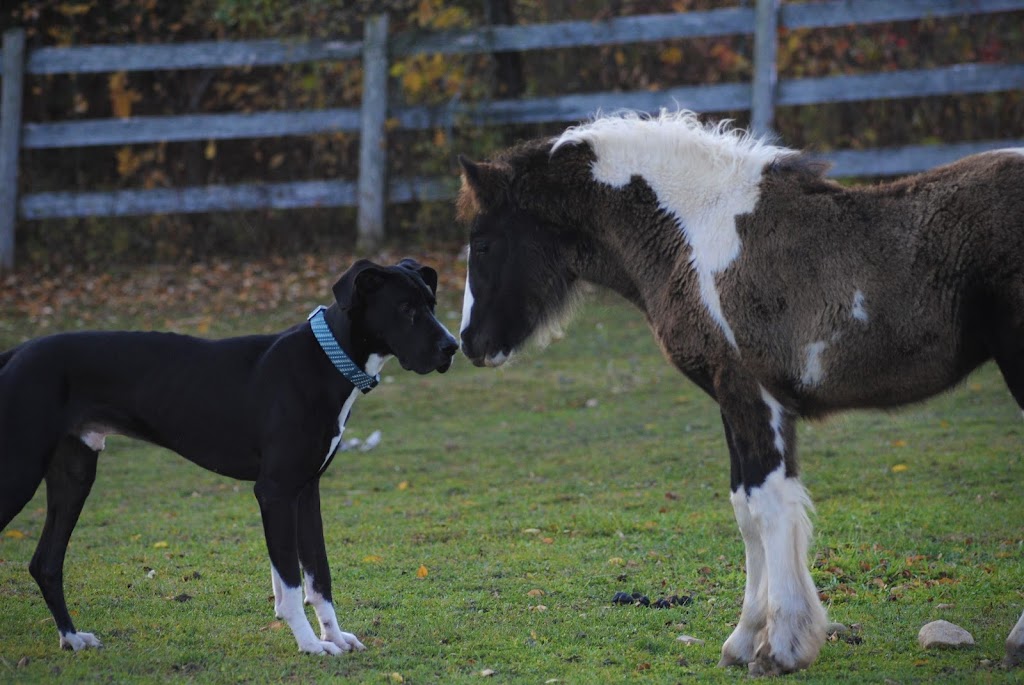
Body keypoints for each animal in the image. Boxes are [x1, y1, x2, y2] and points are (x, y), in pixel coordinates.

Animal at [0, 255, 456, 651]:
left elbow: (317, 576)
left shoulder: (306, 491)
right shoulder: (274, 492)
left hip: (74, 473)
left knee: (45, 562)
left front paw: (334, 636)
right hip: (18, 471)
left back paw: (71, 637)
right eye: (406, 309)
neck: (329, 359)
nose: (452, 347)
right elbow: (292, 584)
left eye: (431, 304)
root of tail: (17, 353)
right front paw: (310, 645)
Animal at [456, 111, 1024, 671]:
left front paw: (782, 646)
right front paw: (747, 640)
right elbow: (745, 510)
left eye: (482, 244)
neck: (696, 237)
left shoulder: (751, 393)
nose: (469, 342)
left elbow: (766, 505)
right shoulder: (736, 403)